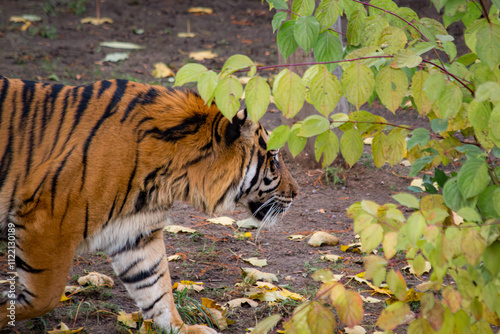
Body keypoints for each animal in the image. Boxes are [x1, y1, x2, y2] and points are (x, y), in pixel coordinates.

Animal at [0, 76, 296, 334]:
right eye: (274, 159)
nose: (296, 192)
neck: (172, 174)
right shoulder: (47, 224)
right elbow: (45, 297)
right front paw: (6, 306)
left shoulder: (135, 233)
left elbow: (156, 287)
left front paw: (180, 328)